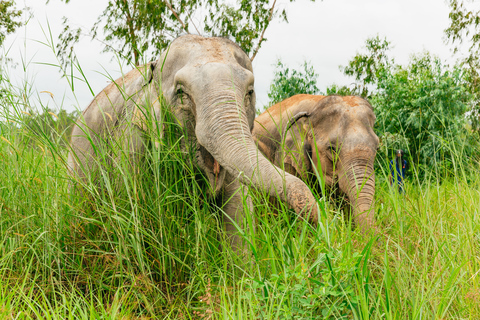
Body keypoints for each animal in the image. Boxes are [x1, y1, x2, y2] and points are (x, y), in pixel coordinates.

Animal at [65, 33, 316, 251]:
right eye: (182, 93)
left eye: (249, 92)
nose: (312, 218)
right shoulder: (132, 138)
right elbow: (130, 209)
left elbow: (237, 212)